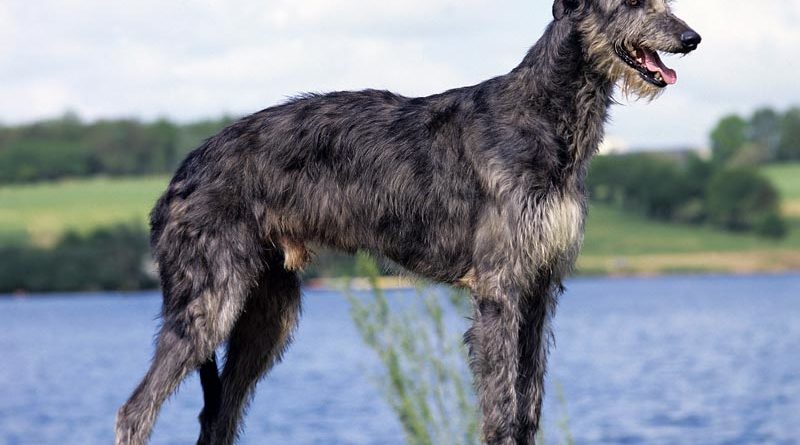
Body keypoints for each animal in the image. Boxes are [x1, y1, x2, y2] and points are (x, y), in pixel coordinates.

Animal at [114, 0, 700, 444]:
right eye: (631, 1)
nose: (692, 38)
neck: (545, 114)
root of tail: (181, 173)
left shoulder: (539, 289)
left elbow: (528, 409)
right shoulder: (499, 287)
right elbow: (502, 409)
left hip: (266, 312)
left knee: (219, 416)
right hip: (210, 299)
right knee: (135, 411)